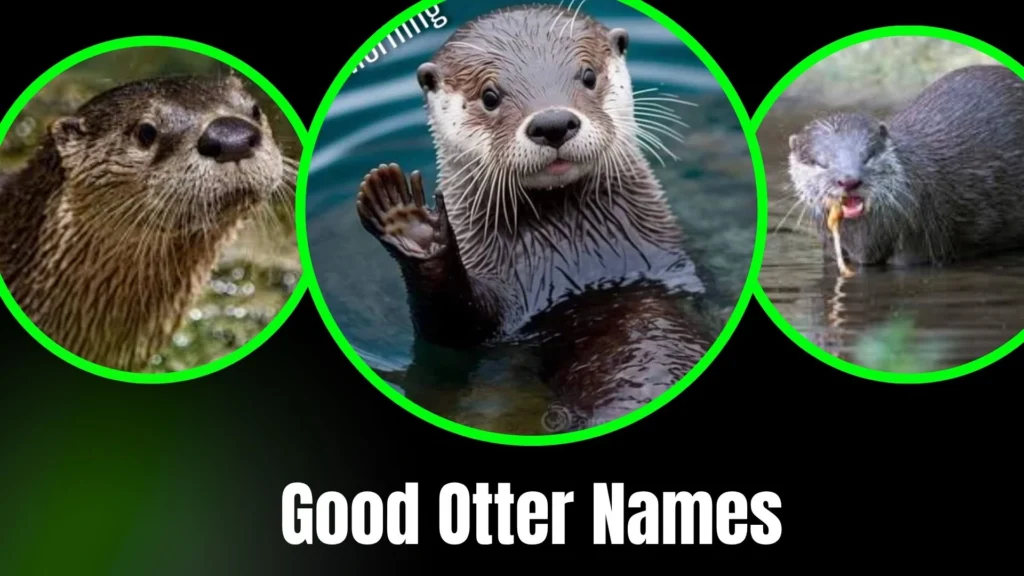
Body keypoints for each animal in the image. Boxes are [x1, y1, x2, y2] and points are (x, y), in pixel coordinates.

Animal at [355, 4, 713, 429]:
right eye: (490, 96)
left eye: (588, 76)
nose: (553, 122)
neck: (576, 264)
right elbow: (450, 328)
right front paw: (409, 224)